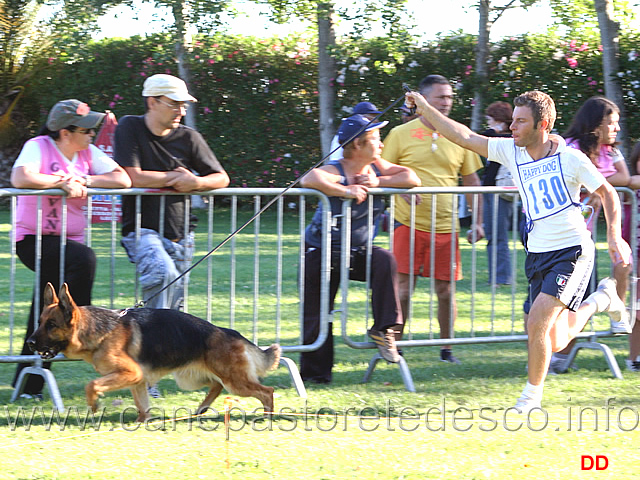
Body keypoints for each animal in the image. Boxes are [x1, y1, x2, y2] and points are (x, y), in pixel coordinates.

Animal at [27, 284, 282, 422]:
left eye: (51, 325)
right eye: (39, 323)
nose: (29, 343)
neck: (98, 331)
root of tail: (231, 333)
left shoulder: (131, 373)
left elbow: (92, 385)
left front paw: (94, 405)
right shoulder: (137, 380)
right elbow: (142, 405)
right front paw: (142, 422)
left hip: (233, 382)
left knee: (267, 391)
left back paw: (268, 417)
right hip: (192, 379)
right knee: (216, 386)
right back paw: (201, 410)